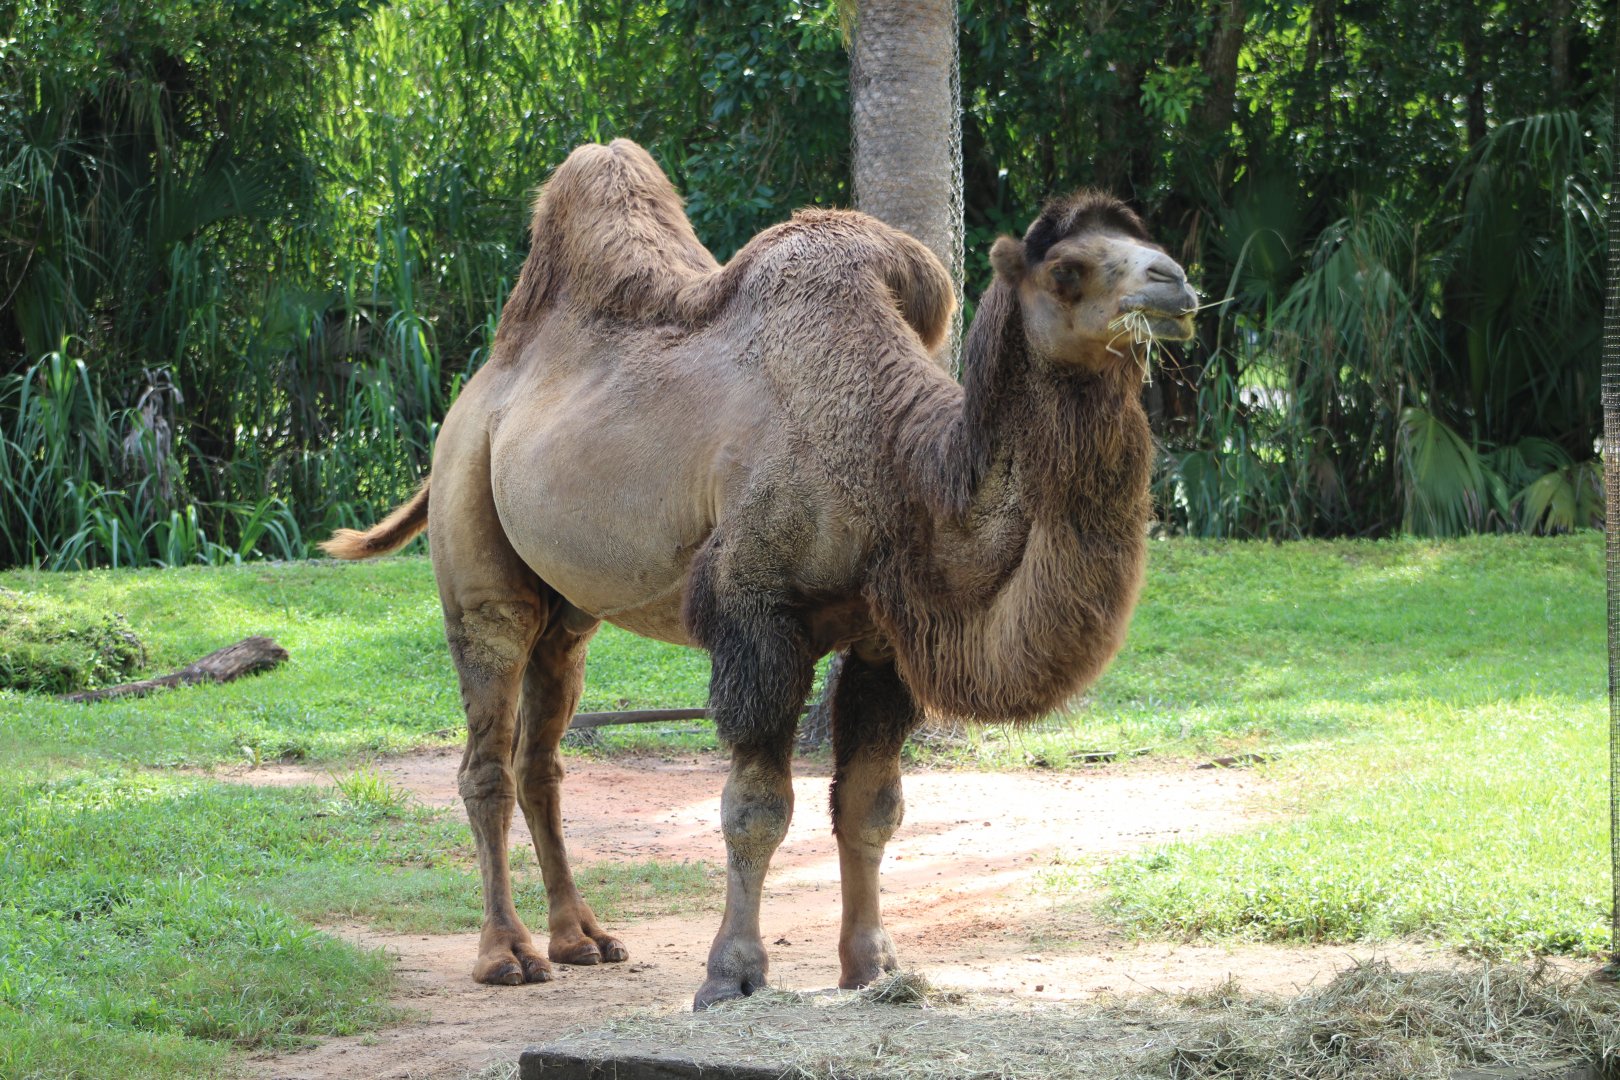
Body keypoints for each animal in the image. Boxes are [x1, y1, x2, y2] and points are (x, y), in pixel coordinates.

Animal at [321, 139, 1196, 1009]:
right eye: (1069, 269)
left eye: (1146, 241)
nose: (1176, 282)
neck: (895, 464)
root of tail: (476, 395)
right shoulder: (756, 612)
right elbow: (756, 808)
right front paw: (732, 973)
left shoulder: (881, 639)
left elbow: (872, 806)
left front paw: (872, 965)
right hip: (474, 532)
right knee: (487, 750)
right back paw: (506, 953)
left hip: (569, 608)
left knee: (545, 753)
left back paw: (583, 939)